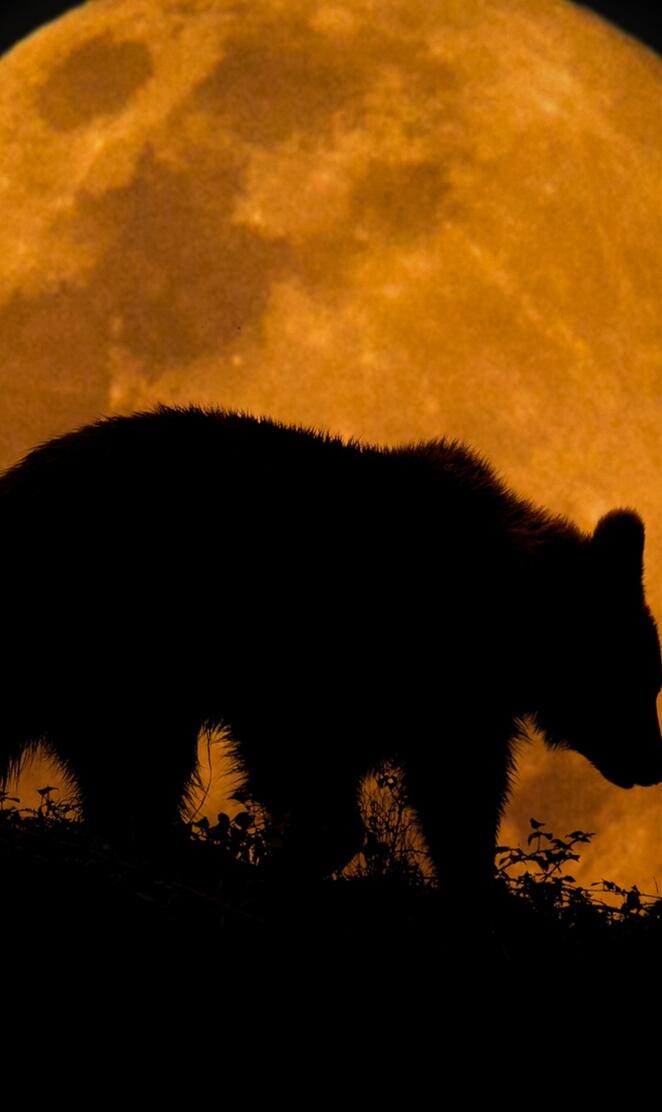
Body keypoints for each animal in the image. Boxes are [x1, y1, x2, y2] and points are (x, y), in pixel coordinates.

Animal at [0, 404, 661, 894]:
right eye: (639, 680)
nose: (652, 763)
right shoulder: (323, 652)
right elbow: (297, 758)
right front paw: (294, 853)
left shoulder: (451, 704)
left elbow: (459, 791)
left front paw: (475, 881)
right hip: (108, 622)